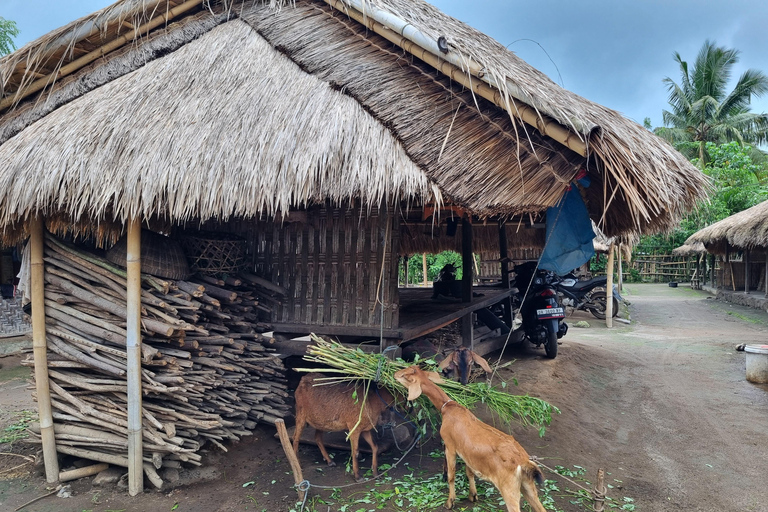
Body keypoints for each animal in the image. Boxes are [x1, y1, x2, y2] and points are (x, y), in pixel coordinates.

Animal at [392, 366, 548, 510]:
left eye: (405, 376)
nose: (394, 374)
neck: (448, 408)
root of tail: (523, 462)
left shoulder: (450, 446)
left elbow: (451, 475)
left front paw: (450, 502)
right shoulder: (467, 453)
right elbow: (469, 472)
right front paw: (473, 495)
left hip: (509, 490)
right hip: (527, 486)